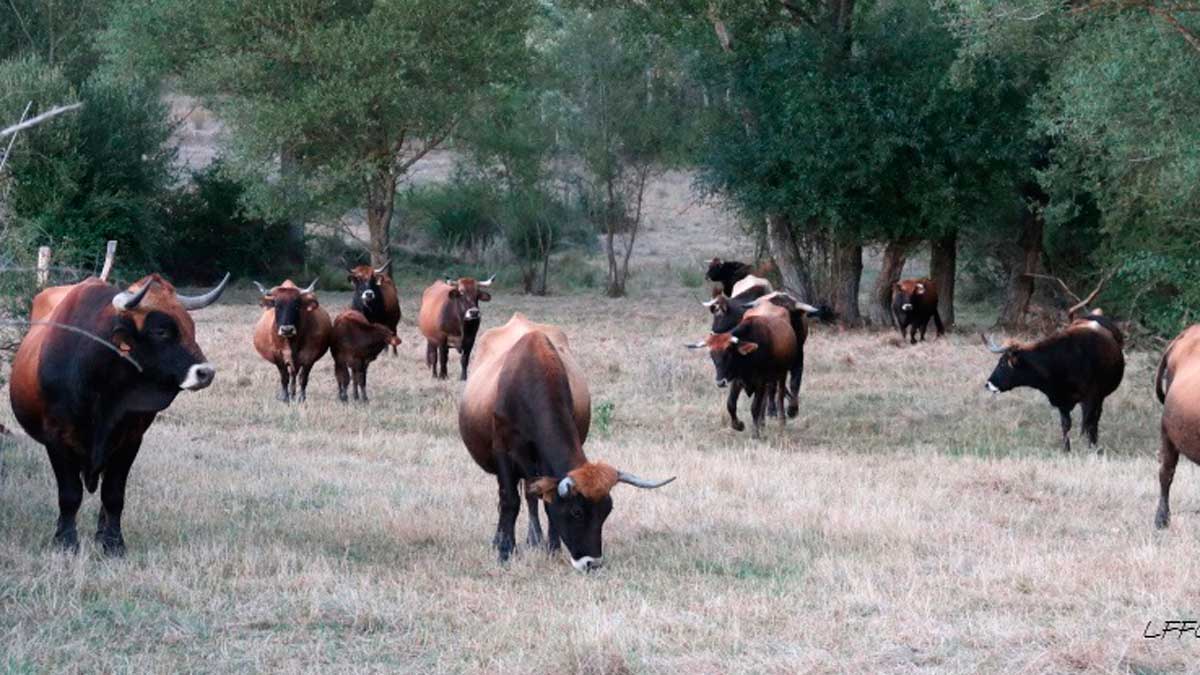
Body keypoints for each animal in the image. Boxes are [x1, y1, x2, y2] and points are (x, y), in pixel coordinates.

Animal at [7, 270, 226, 550]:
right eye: (161, 331)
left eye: (191, 326)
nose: (206, 373)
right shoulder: (56, 439)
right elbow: (69, 494)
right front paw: (65, 540)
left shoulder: (130, 440)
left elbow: (113, 495)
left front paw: (112, 543)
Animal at [458, 312, 676, 564]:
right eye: (577, 512)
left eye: (607, 511)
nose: (592, 563)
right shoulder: (503, 451)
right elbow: (509, 500)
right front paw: (505, 551)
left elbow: (544, 500)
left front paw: (552, 547)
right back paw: (502, 540)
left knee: (531, 496)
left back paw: (535, 540)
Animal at [696, 305, 796, 437]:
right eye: (712, 355)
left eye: (728, 353)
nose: (720, 382)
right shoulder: (737, 381)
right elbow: (731, 404)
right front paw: (738, 425)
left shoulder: (760, 382)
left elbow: (754, 407)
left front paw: (755, 434)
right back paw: (762, 423)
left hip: (781, 375)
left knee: (779, 397)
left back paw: (781, 422)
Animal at [984, 312, 1123, 449]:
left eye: (1002, 363)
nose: (988, 384)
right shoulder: (1062, 402)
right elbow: (1066, 425)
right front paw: (1066, 449)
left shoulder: (1091, 398)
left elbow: (1088, 424)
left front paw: (1092, 447)